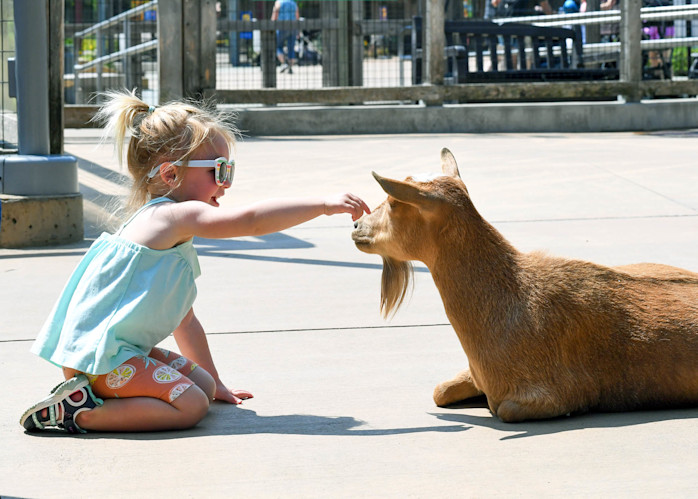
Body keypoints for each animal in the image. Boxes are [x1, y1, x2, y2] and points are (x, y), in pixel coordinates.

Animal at [352, 148, 698, 423]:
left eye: (394, 202)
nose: (356, 226)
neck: (509, 299)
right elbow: (440, 390)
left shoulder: (552, 393)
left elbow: (506, 410)